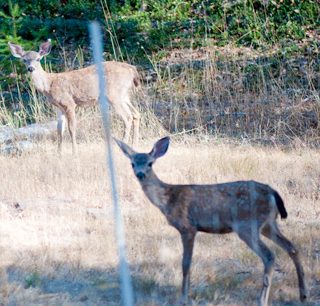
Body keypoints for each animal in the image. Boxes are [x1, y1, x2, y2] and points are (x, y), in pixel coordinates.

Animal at [8, 39, 141, 154]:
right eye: (24, 59)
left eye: (38, 59)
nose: (31, 68)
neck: (48, 85)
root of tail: (132, 69)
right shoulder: (59, 107)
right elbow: (59, 130)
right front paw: (59, 153)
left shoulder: (69, 103)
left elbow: (71, 129)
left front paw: (74, 152)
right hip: (123, 95)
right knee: (136, 113)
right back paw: (134, 145)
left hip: (113, 94)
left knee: (127, 116)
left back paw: (122, 146)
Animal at [115, 137, 308, 306]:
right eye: (132, 163)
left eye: (150, 163)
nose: (140, 174)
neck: (168, 199)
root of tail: (272, 192)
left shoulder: (187, 227)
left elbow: (186, 263)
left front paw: (183, 298)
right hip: (268, 224)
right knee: (292, 247)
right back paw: (303, 295)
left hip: (247, 225)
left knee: (269, 256)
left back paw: (263, 300)